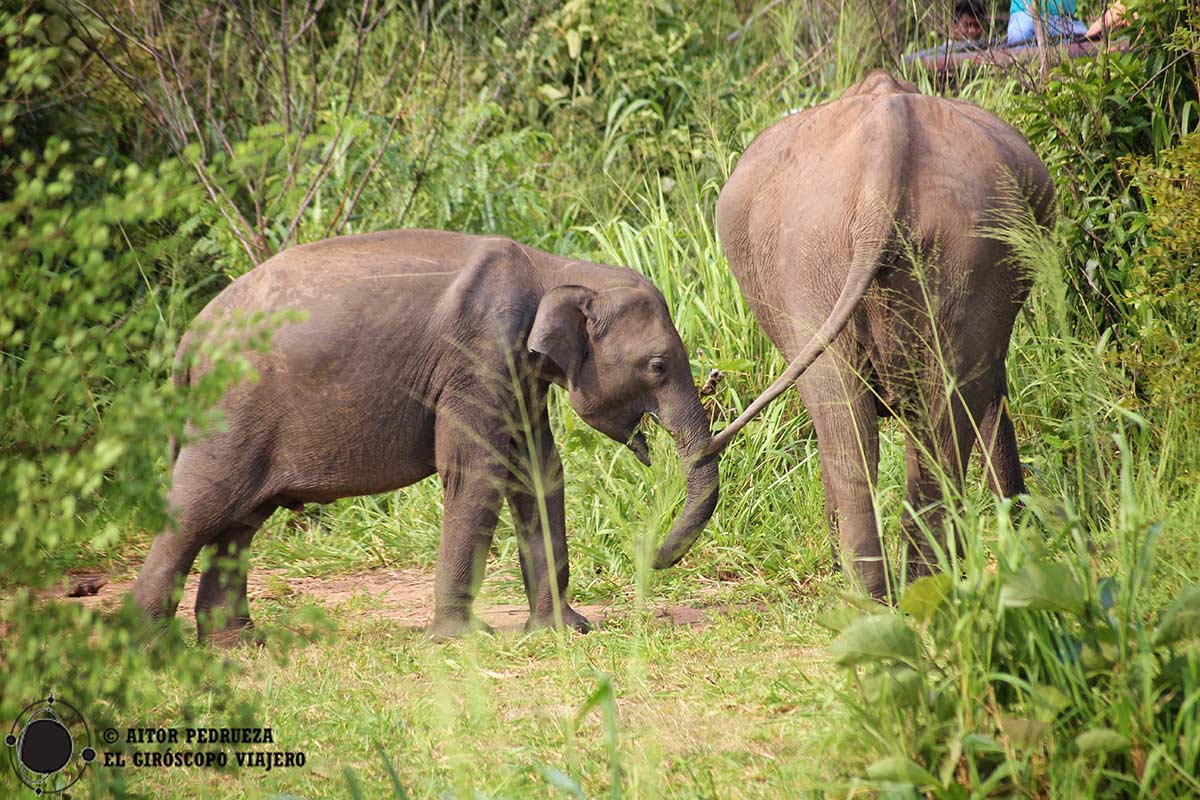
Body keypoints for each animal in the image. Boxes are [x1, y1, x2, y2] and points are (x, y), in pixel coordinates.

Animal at [131, 227, 715, 642]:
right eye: (658, 366)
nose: (654, 556)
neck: (553, 267)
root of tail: (190, 338)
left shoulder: (517, 376)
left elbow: (539, 471)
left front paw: (564, 630)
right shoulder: (478, 357)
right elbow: (478, 472)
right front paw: (463, 639)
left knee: (239, 522)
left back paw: (236, 643)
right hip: (229, 412)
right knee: (199, 510)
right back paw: (148, 645)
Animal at [657, 71, 1051, 599]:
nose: (659, 556)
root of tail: (885, 153)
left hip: (836, 256)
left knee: (876, 421)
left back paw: (883, 592)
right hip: (882, 255)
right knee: (902, 417)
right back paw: (906, 591)